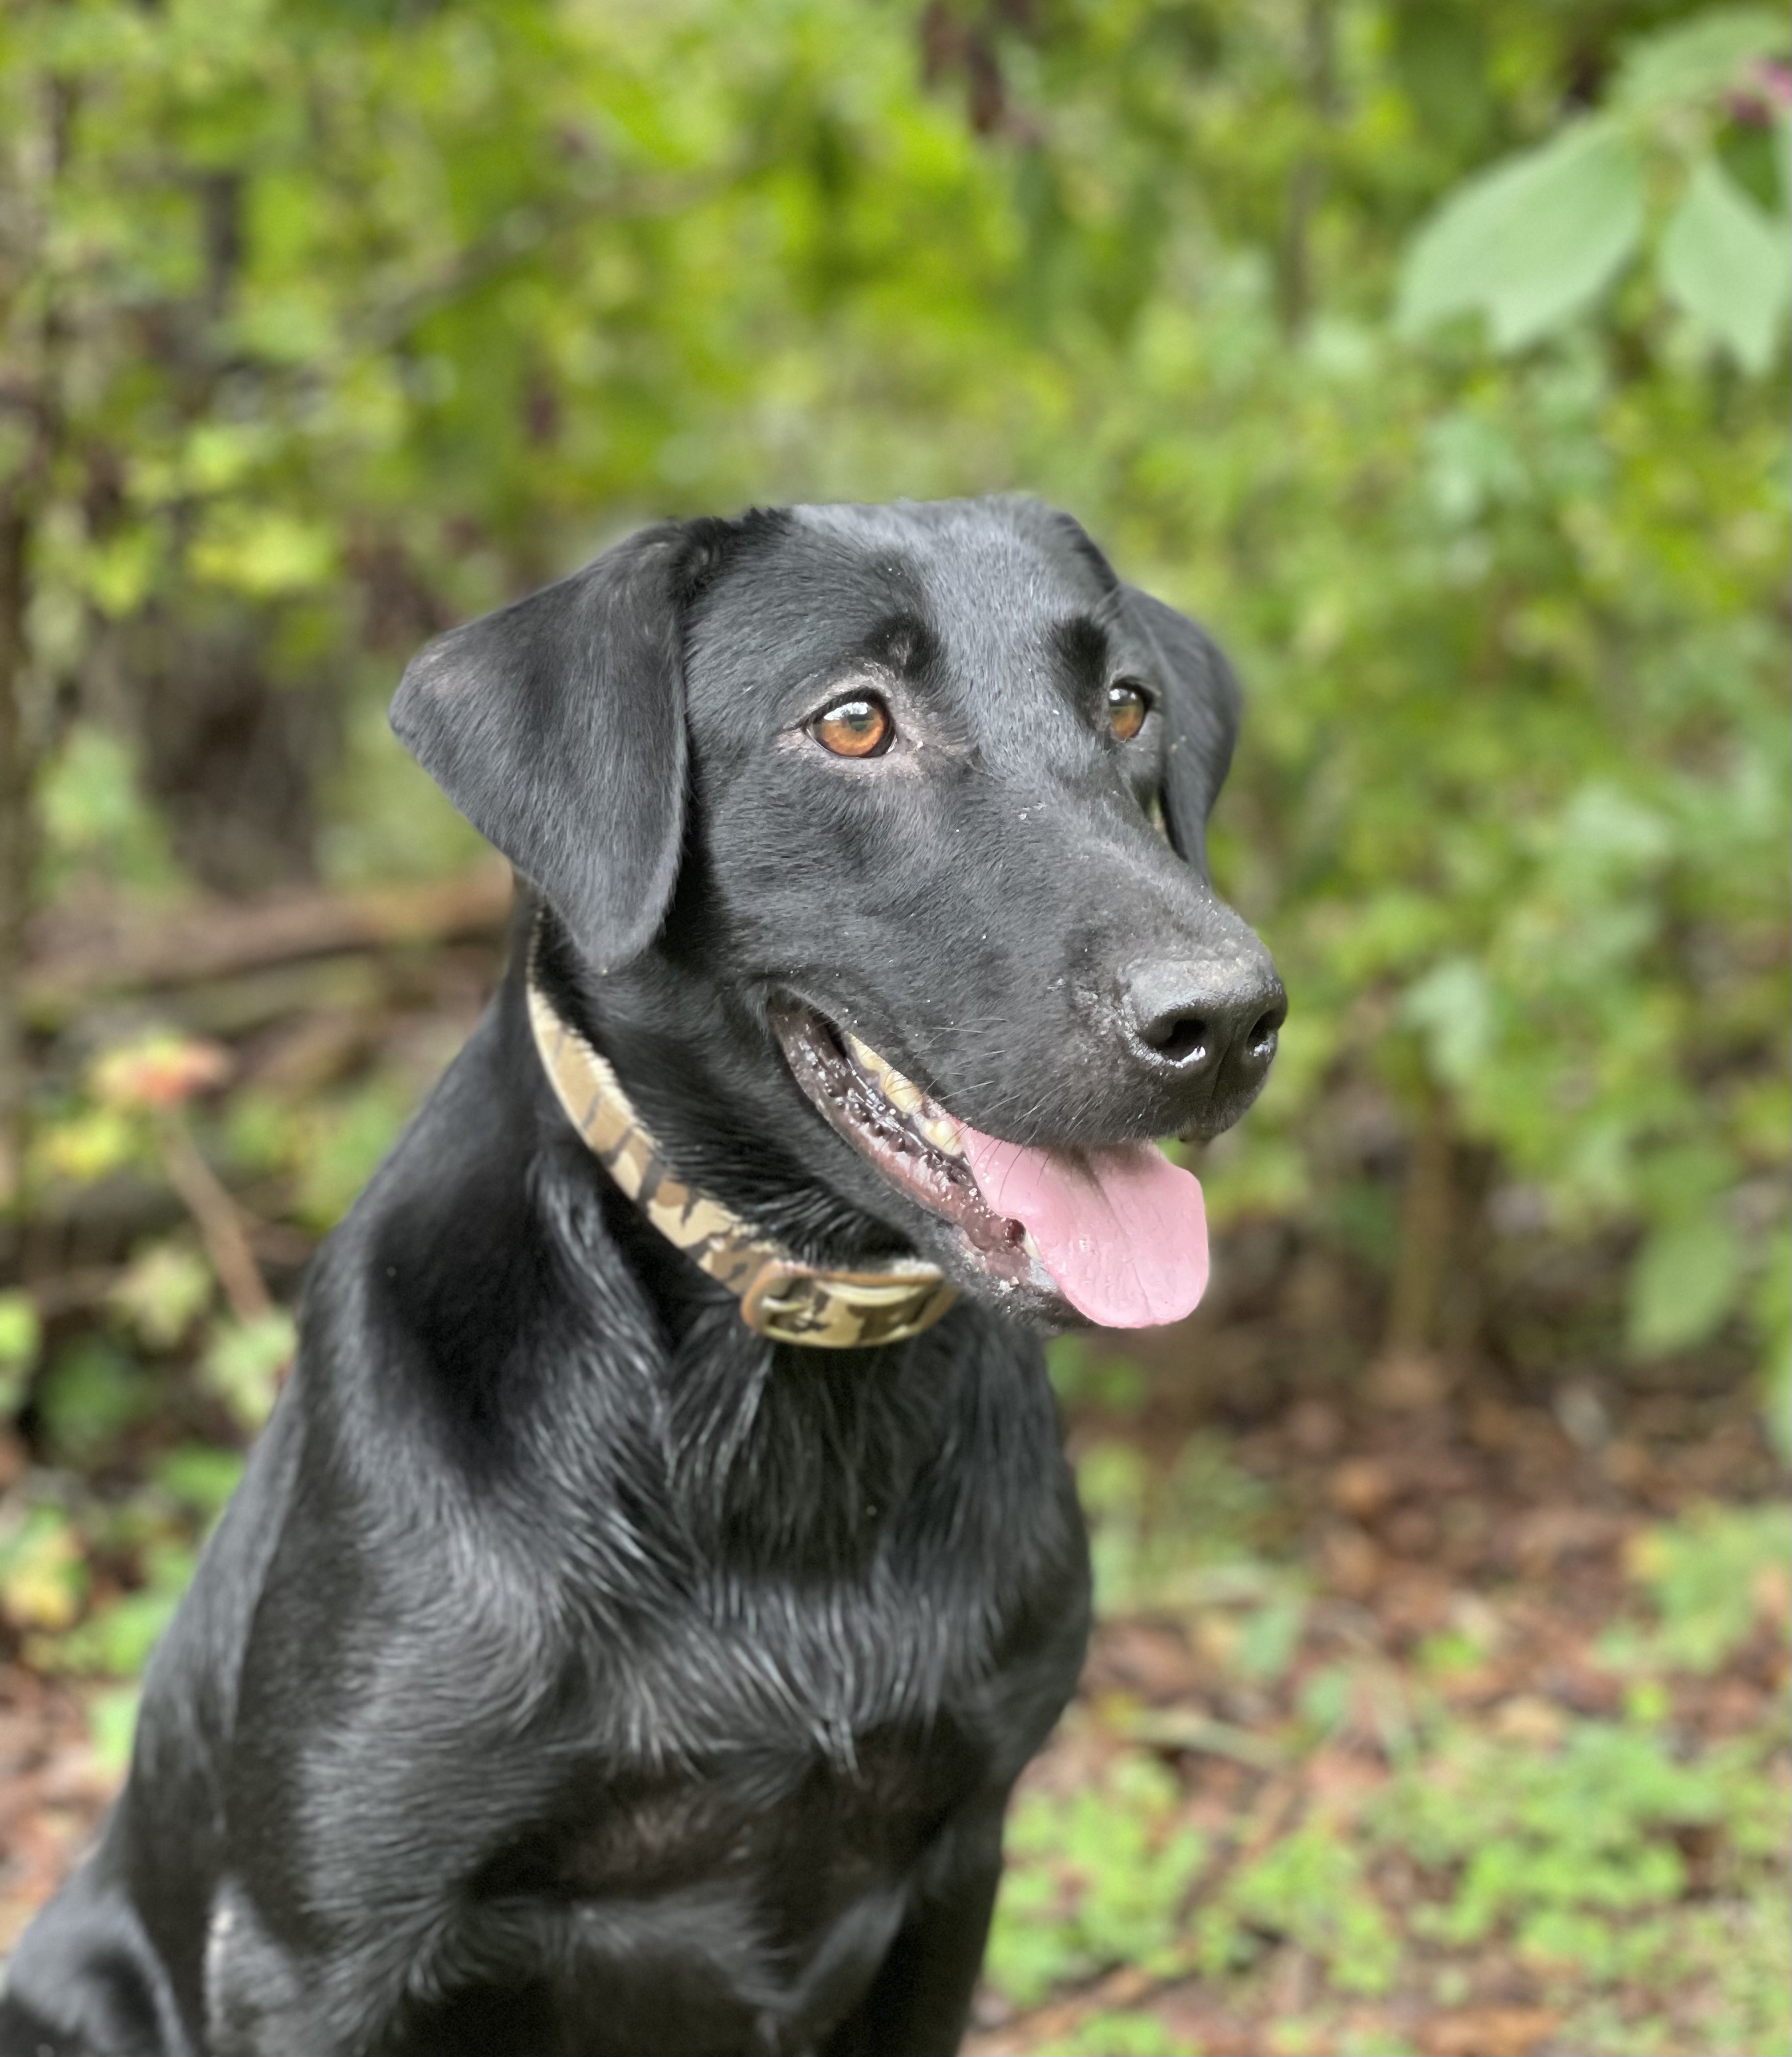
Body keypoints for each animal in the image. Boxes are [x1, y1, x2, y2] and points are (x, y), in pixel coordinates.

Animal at [7, 502, 1284, 2057]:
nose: (1226, 1019)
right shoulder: (318, 1952)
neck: (776, 1424)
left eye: (1128, 704)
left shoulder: (953, 1858)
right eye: (853, 721)